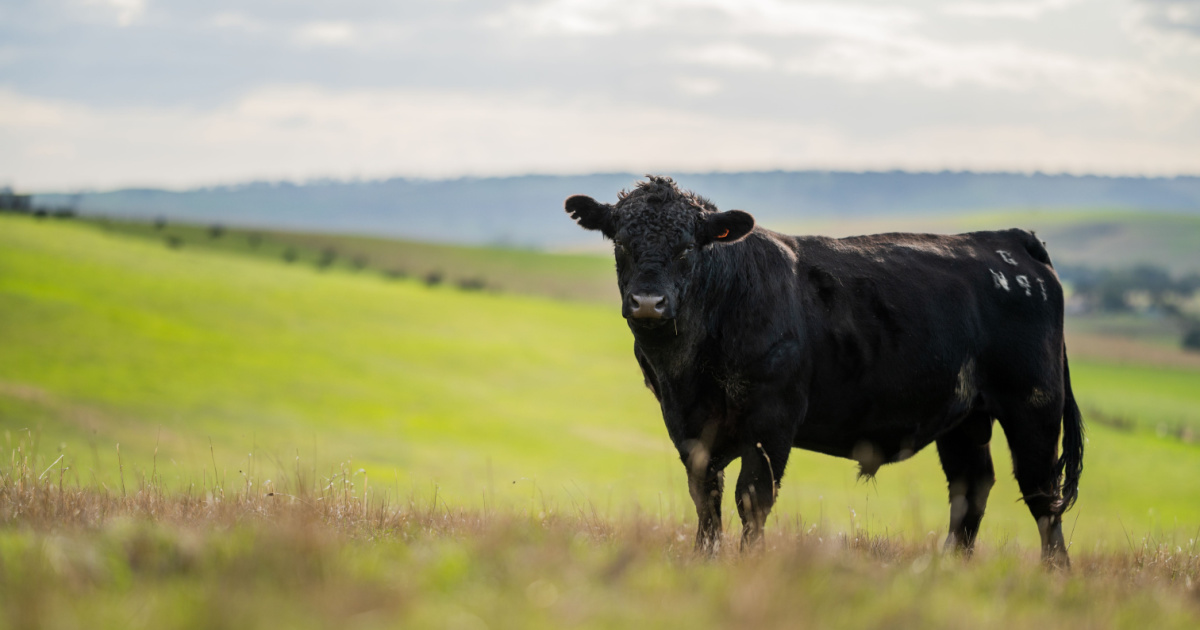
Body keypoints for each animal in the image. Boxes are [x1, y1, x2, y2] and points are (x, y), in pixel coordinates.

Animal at [566, 175, 1084, 559]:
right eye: (621, 243)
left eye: (687, 247)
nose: (647, 302)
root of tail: (1007, 239)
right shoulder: (687, 425)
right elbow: (705, 498)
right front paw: (704, 558)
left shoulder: (771, 420)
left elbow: (752, 498)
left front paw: (748, 564)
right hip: (966, 417)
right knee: (970, 488)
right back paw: (950, 567)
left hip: (1034, 406)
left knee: (1041, 493)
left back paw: (1054, 574)